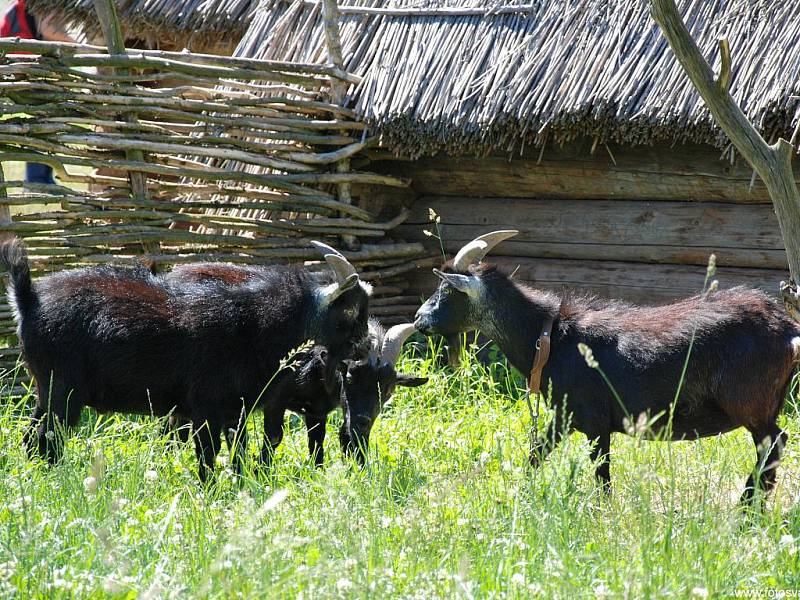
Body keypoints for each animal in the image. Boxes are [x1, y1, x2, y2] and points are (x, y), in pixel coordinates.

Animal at [1, 237, 370, 480]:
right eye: (351, 310)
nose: (366, 348)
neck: (256, 322)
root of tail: (29, 300)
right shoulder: (205, 406)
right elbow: (208, 455)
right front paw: (209, 495)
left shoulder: (234, 408)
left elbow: (237, 451)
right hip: (61, 392)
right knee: (46, 439)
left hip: (46, 390)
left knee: (32, 438)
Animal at [416, 230, 796, 502]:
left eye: (446, 292)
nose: (419, 319)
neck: (552, 337)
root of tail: (789, 330)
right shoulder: (566, 416)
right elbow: (536, 454)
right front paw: (520, 495)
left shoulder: (595, 422)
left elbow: (602, 477)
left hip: (749, 403)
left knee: (773, 444)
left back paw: (746, 509)